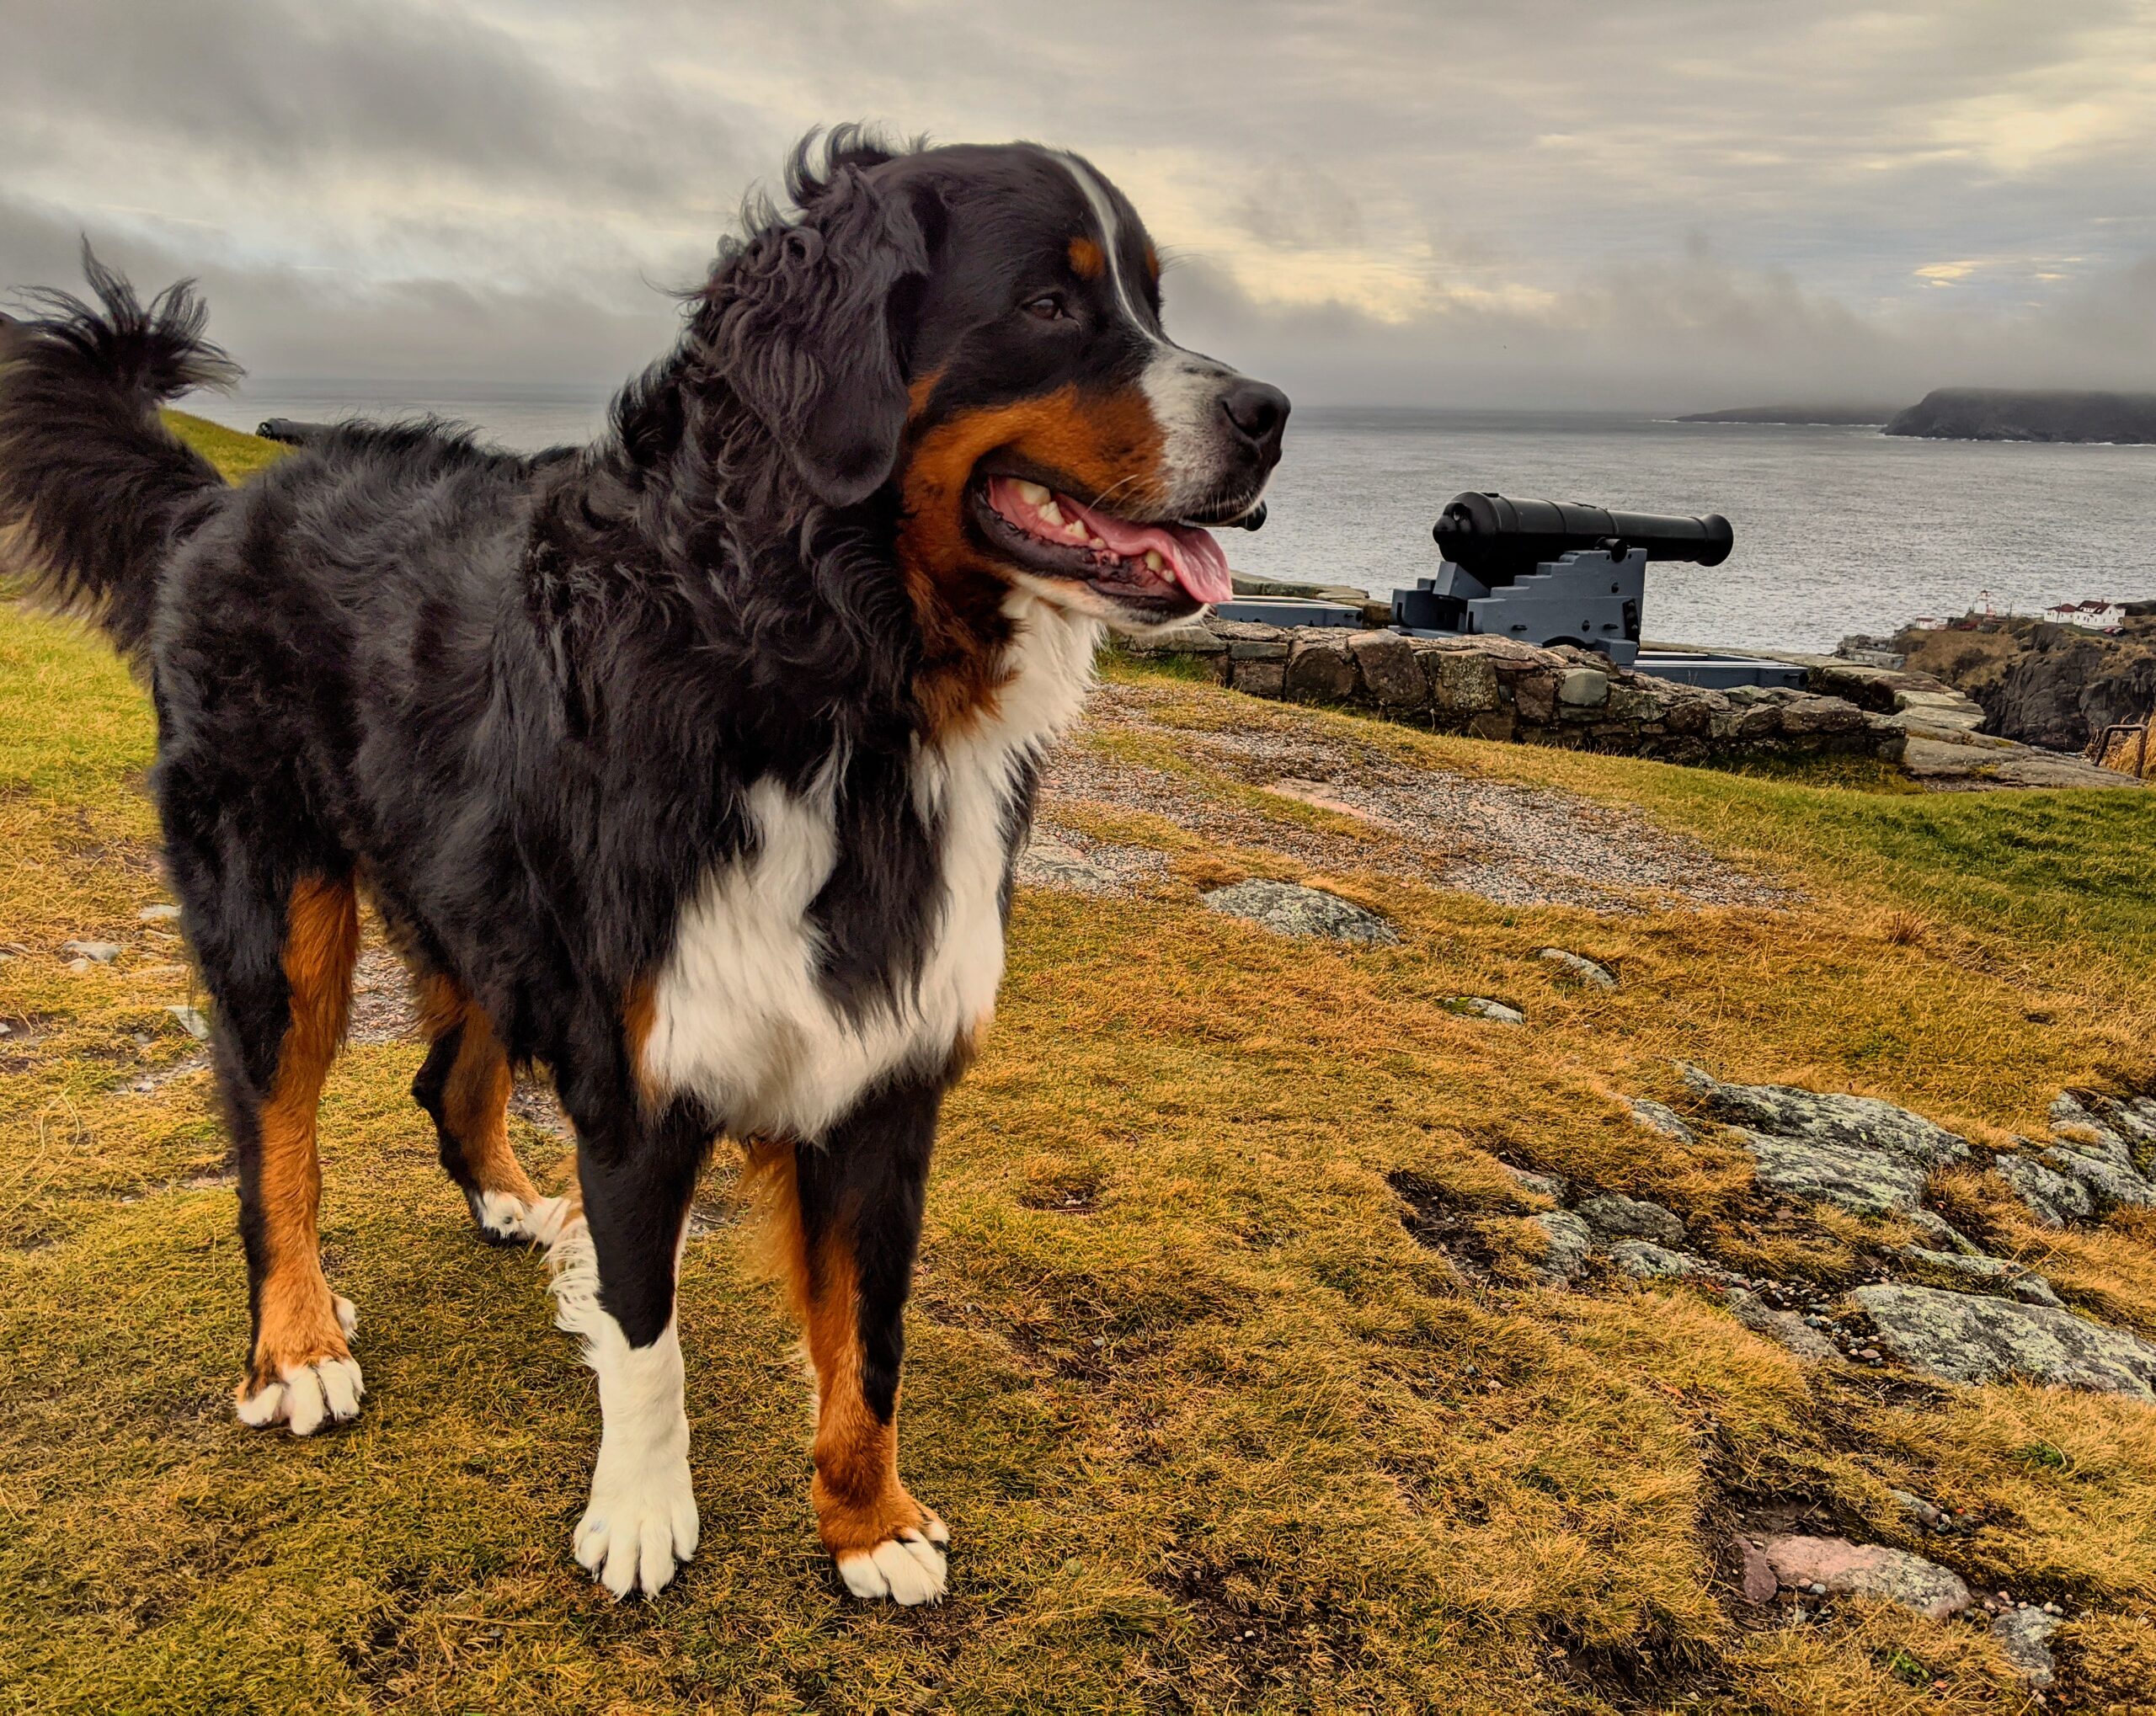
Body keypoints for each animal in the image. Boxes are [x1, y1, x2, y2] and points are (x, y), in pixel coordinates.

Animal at [0, 127, 1276, 1603]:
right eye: (1051, 303)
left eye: (1154, 302)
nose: (1271, 412)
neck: (831, 689)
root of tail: (223, 500)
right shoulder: (639, 1073)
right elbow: (647, 1331)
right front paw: (643, 1514)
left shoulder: (886, 1076)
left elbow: (870, 1339)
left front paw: (871, 1520)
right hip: (279, 908)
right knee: (275, 1133)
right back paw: (298, 1341)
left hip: (481, 901)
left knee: (447, 1077)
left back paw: (506, 1205)